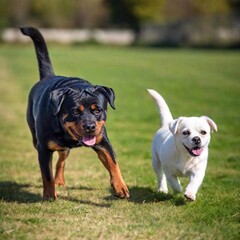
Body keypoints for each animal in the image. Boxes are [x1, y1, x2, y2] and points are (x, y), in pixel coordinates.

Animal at [20, 26, 129, 199]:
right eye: (76, 111)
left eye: (97, 110)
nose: (90, 126)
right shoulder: (43, 148)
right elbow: (47, 175)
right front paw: (49, 196)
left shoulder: (102, 141)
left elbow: (113, 162)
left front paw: (120, 187)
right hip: (35, 139)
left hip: (65, 149)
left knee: (61, 160)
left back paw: (59, 180)